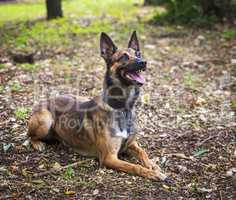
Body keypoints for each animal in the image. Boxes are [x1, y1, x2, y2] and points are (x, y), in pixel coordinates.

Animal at [28, 31, 173, 184]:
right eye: (124, 57)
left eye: (138, 54)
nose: (143, 62)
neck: (123, 109)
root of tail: (45, 100)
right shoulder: (109, 158)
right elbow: (134, 166)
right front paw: (153, 173)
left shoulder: (130, 144)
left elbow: (142, 151)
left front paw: (152, 165)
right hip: (45, 121)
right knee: (29, 136)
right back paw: (37, 144)